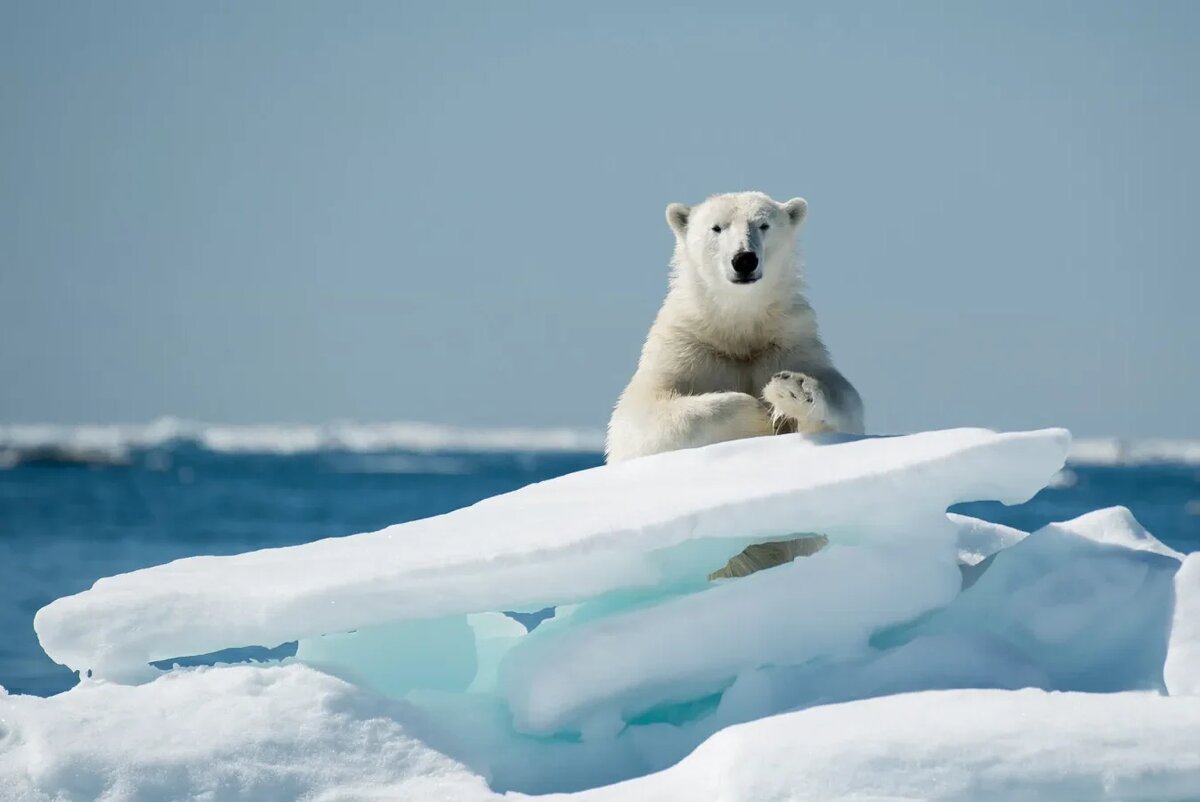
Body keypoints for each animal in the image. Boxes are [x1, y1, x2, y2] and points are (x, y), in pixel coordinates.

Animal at [609, 190, 864, 463]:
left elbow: (847, 405)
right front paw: (758, 414)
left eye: (763, 225)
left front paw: (792, 389)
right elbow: (637, 418)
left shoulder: (789, 341)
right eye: (717, 227)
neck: (735, 330)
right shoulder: (686, 347)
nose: (744, 259)